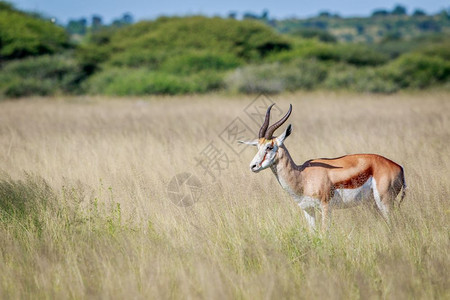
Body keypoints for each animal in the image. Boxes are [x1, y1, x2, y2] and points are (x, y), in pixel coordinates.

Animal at [241, 104, 406, 231]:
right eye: (257, 146)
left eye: (269, 147)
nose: (253, 166)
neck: (303, 177)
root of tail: (399, 167)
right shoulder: (308, 210)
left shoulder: (326, 208)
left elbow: (324, 233)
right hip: (372, 204)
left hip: (385, 203)